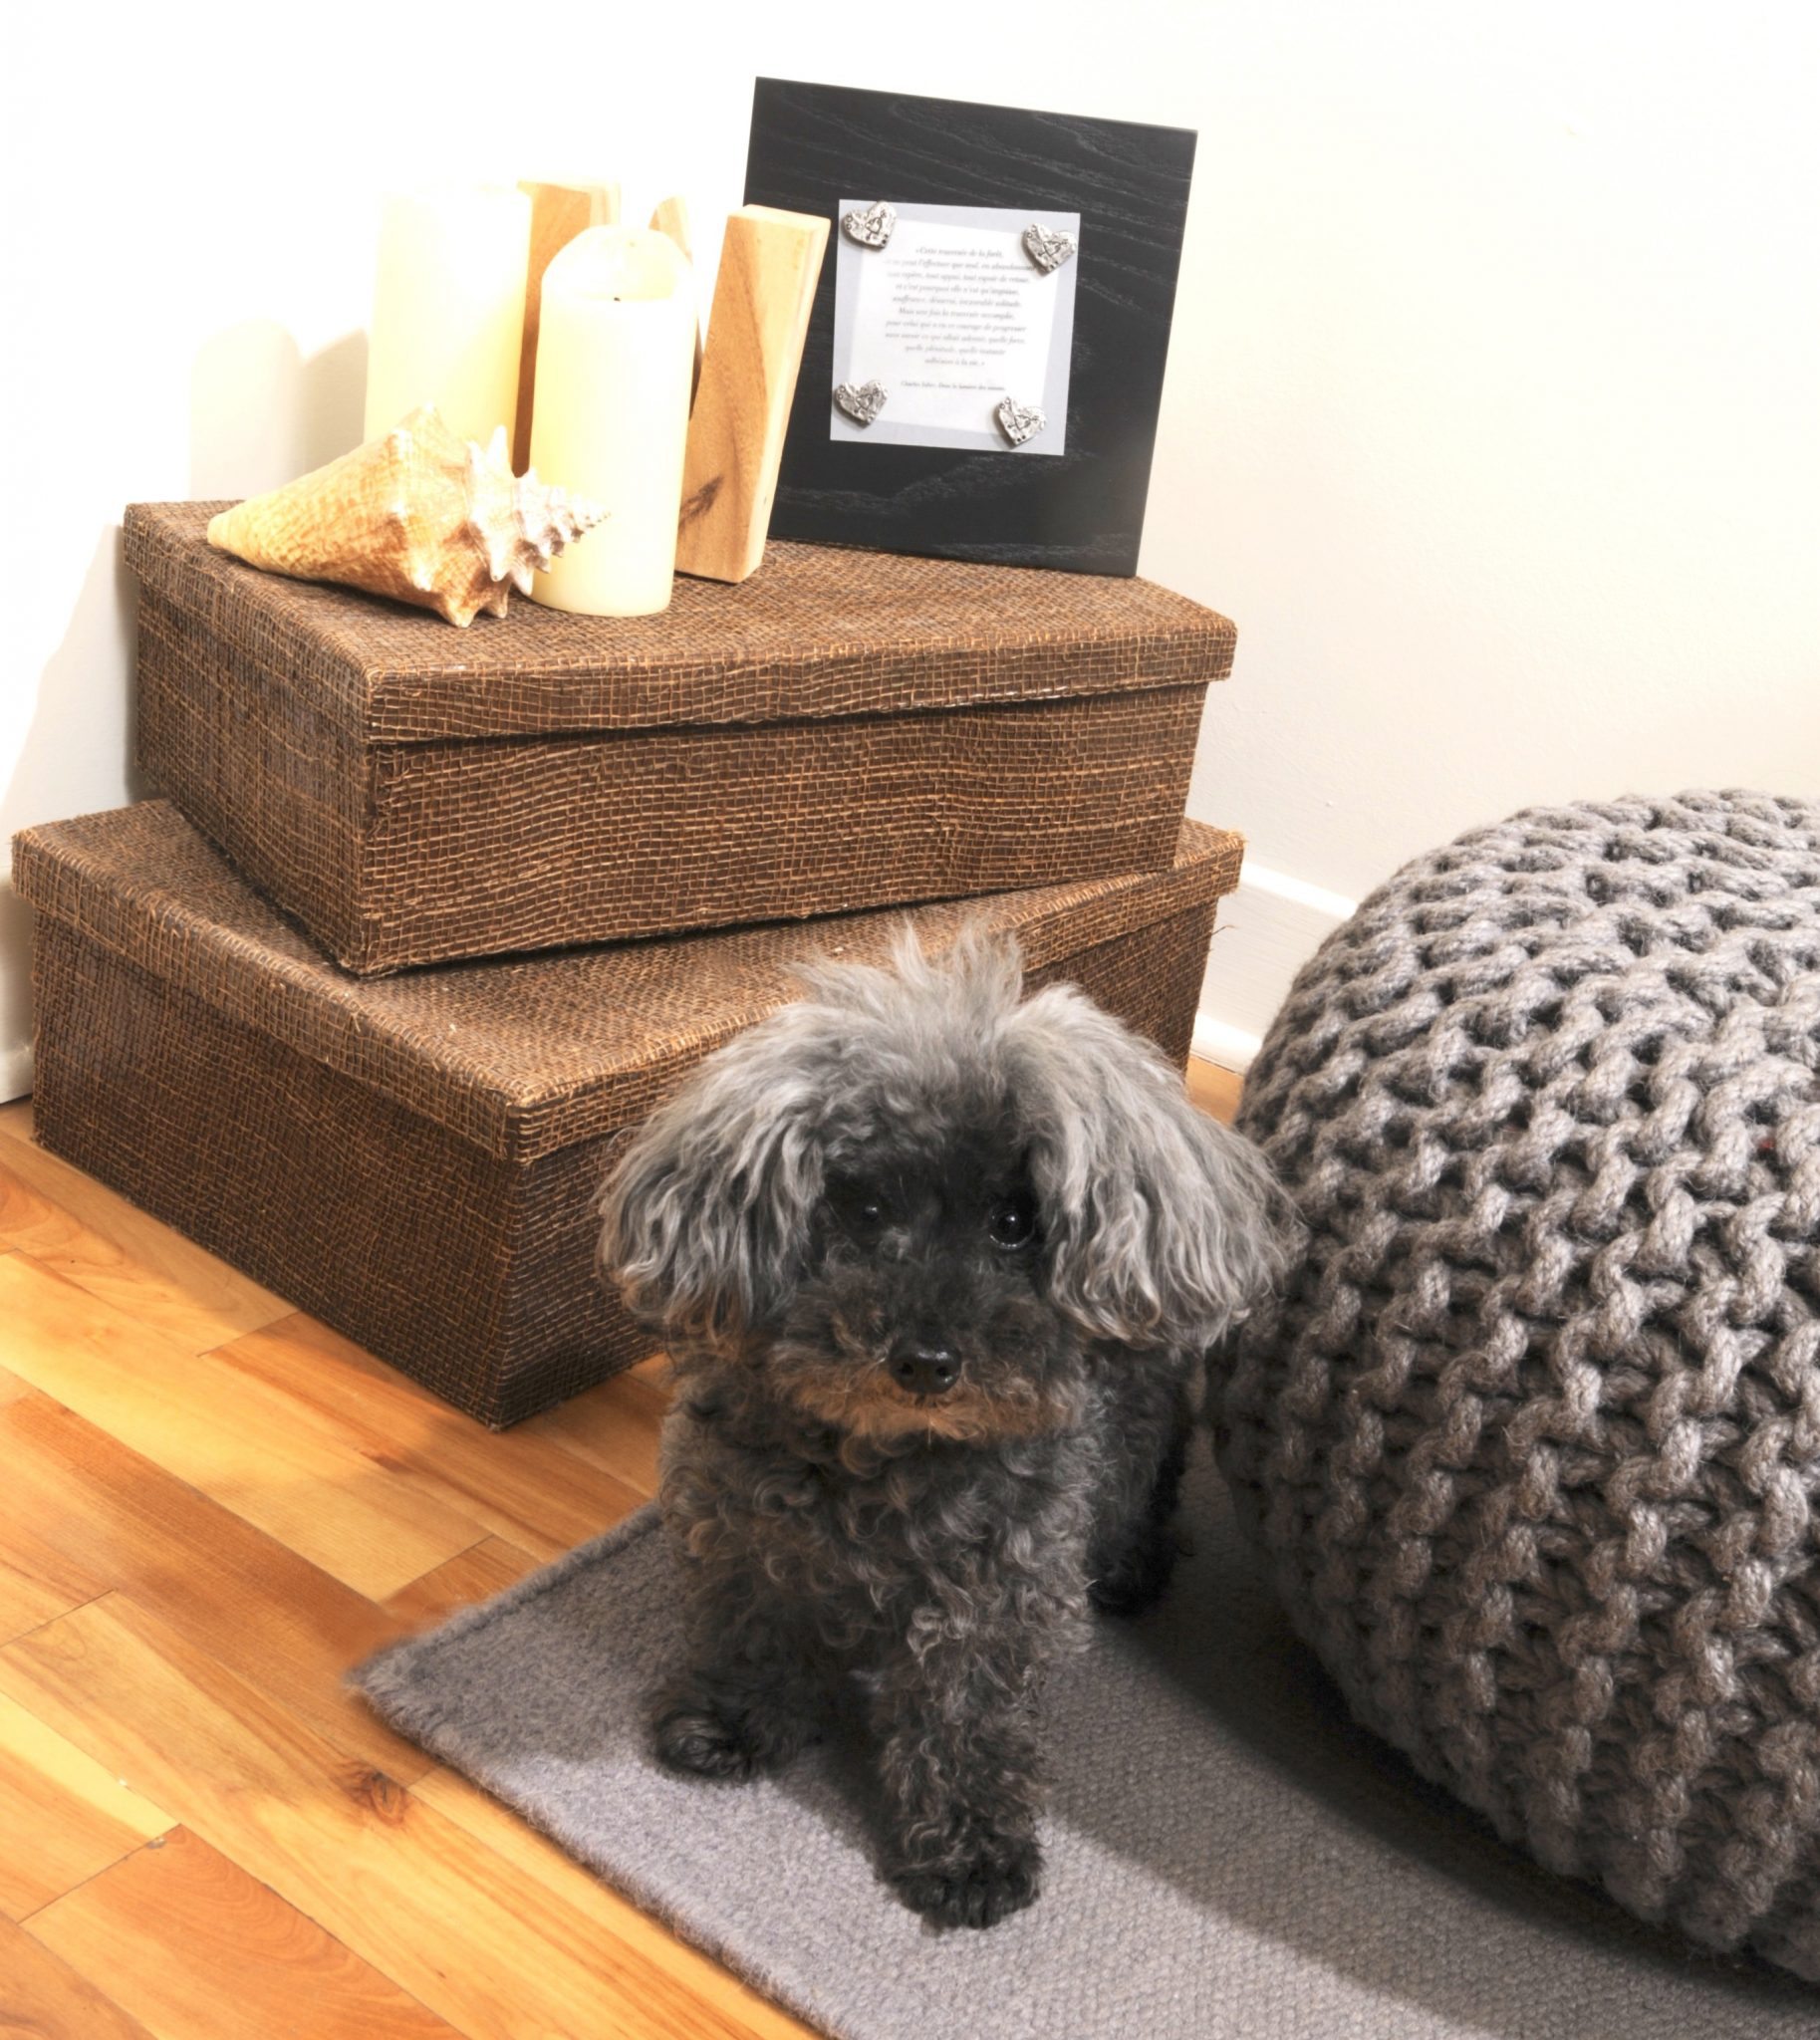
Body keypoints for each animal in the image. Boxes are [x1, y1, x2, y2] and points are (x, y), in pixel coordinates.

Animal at [598, 931, 1289, 1929]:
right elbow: (750, 1628)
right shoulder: (739, 1532)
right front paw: (732, 1720)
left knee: (1143, 1490)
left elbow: (964, 1722)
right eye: (863, 1208)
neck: (882, 1459)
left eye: (1013, 1221)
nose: (925, 1362)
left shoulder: (993, 1593)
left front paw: (968, 1850)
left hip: (1142, 1426)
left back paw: (1131, 1568)